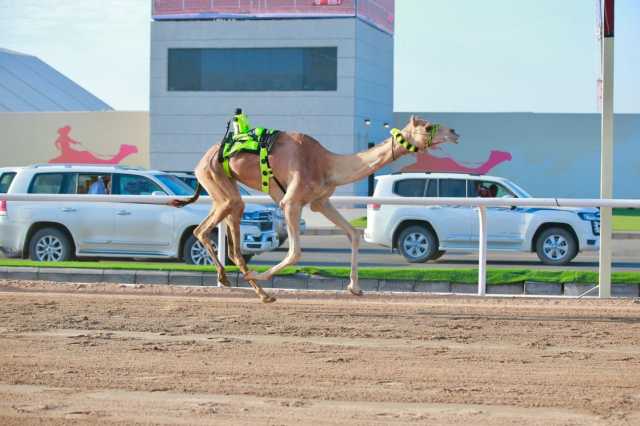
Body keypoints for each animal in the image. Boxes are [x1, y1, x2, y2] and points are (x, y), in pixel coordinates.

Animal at [170, 116, 460, 302]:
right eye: (428, 126)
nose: (455, 133)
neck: (327, 163)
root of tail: (201, 160)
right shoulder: (291, 202)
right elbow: (296, 252)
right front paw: (261, 275)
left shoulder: (320, 201)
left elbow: (353, 234)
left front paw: (355, 288)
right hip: (216, 177)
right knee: (205, 230)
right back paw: (246, 282)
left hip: (223, 189)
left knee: (221, 237)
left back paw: (254, 290)